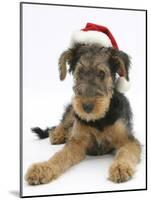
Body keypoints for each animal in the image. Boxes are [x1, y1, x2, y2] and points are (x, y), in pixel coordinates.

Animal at [24, 23, 140, 184]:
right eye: (79, 72)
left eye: (102, 73)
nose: (87, 108)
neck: (100, 119)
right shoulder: (77, 142)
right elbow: (60, 155)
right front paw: (42, 168)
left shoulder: (128, 140)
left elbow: (125, 152)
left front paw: (120, 168)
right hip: (72, 110)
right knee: (62, 122)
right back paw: (58, 134)